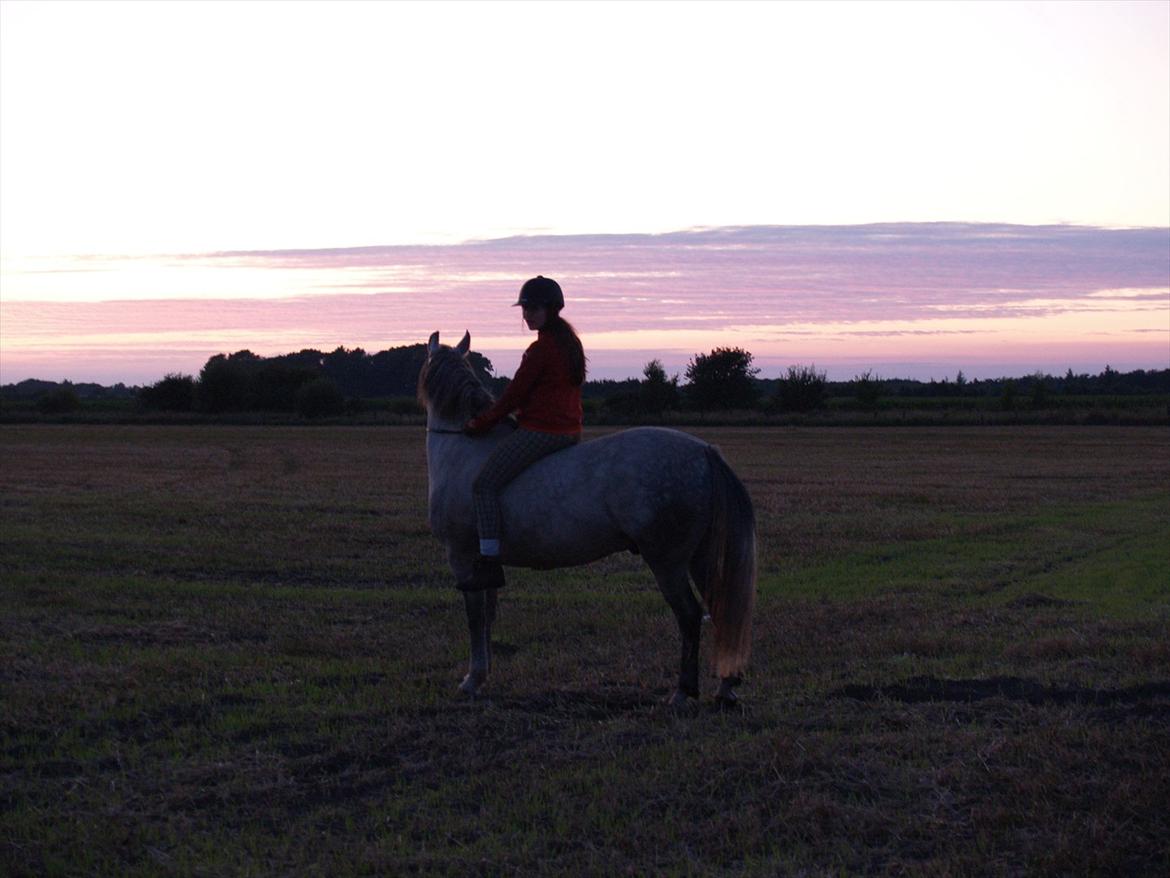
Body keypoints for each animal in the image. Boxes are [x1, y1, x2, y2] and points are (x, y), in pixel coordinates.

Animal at [421, 330, 758, 707]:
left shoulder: (462, 558)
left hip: (668, 562)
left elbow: (475, 617)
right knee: (720, 609)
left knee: (689, 615)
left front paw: (472, 679)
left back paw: (683, 692)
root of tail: (703, 452)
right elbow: (489, 615)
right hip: (701, 555)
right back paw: (726, 688)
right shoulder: (484, 563)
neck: (464, 450)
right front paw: (483, 675)